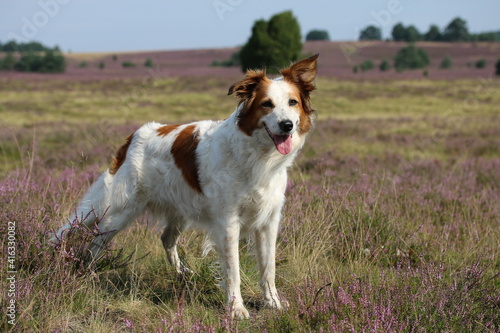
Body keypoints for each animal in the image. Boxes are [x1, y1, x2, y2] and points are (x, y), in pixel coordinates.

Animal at [52, 53, 318, 316]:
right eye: (267, 104)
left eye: (293, 102)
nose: (286, 125)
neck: (258, 156)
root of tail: (135, 135)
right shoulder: (228, 221)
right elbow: (233, 270)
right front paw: (236, 308)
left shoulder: (268, 220)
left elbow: (268, 267)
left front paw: (273, 302)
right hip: (120, 211)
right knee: (96, 240)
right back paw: (86, 273)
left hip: (181, 209)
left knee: (166, 239)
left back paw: (183, 273)